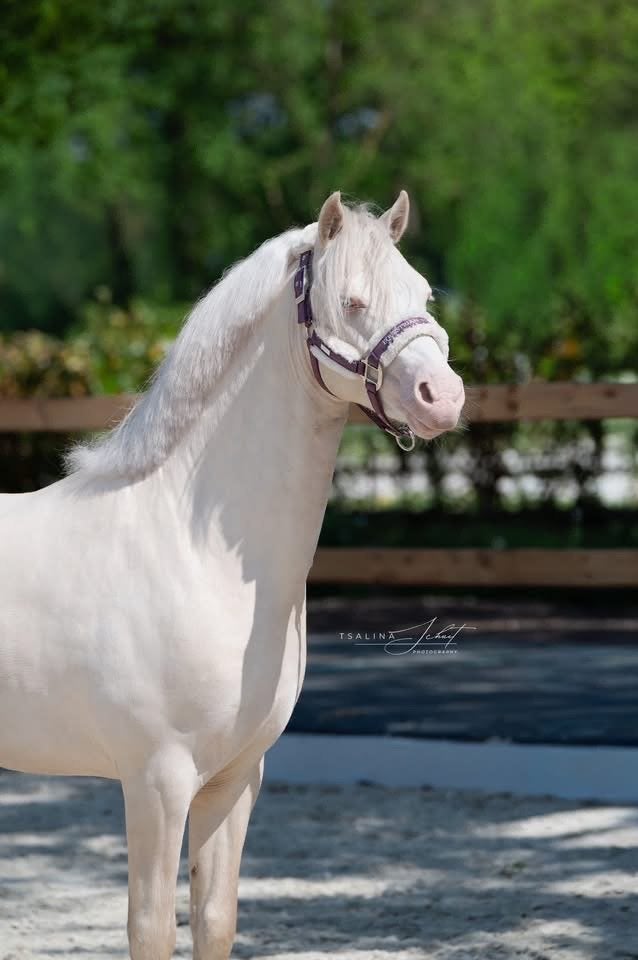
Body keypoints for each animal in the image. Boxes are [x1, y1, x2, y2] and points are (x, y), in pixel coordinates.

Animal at [0, 190, 465, 960]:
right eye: (352, 300)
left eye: (424, 292)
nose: (443, 396)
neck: (196, 551)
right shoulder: (156, 782)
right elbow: (152, 928)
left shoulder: (235, 781)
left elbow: (215, 919)